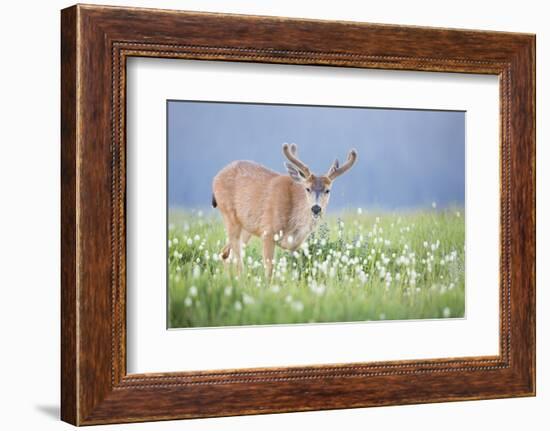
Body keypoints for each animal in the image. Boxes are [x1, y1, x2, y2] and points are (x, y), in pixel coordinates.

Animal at [211, 144, 358, 280]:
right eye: (307, 188)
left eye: (328, 190)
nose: (316, 208)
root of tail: (215, 178)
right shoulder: (268, 232)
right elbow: (269, 270)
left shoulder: (295, 245)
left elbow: (295, 269)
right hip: (229, 215)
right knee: (236, 260)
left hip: (247, 228)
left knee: (225, 254)